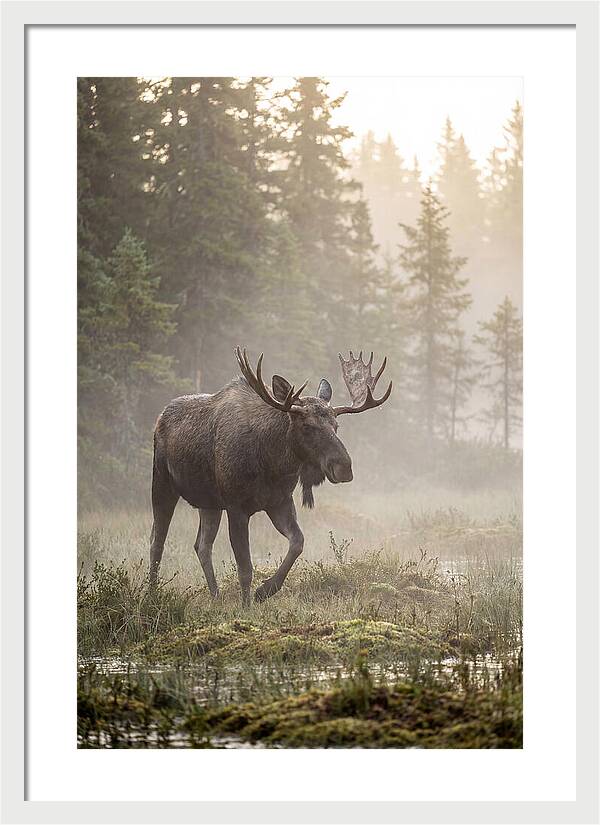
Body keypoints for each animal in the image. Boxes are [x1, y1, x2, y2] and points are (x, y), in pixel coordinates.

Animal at [150, 348, 392, 604]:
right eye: (307, 426)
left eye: (336, 426)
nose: (344, 467)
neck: (272, 464)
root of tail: (160, 417)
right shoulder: (236, 507)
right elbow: (245, 568)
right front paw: (246, 606)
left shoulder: (279, 501)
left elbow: (298, 542)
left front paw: (265, 590)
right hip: (162, 483)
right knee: (157, 540)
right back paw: (152, 593)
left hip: (209, 502)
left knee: (202, 545)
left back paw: (215, 597)